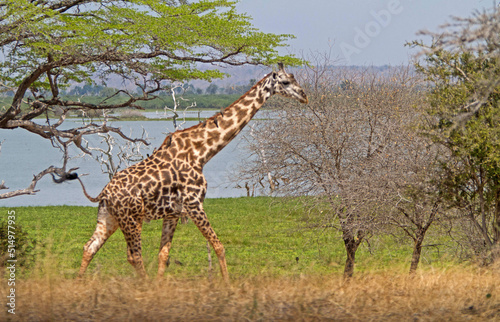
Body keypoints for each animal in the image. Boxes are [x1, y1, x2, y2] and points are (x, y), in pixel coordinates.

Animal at [77, 63, 308, 282]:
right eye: (286, 82)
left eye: (295, 78)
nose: (304, 96)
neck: (202, 153)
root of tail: (105, 194)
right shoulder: (194, 203)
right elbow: (218, 246)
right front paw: (227, 284)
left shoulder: (173, 212)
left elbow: (164, 255)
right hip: (131, 218)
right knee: (133, 255)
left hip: (109, 218)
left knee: (89, 247)